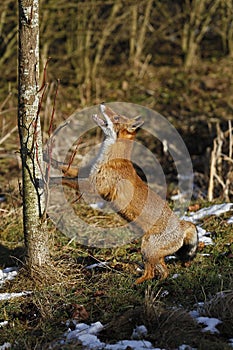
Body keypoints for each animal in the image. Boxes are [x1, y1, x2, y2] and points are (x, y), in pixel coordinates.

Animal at [48, 102, 197, 284]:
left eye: (116, 117)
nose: (102, 104)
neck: (108, 159)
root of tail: (182, 225)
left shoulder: (93, 187)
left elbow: (62, 178)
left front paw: (45, 180)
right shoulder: (86, 173)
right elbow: (63, 167)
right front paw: (45, 156)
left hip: (146, 249)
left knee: (150, 273)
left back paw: (136, 284)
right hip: (152, 254)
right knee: (163, 271)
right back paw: (158, 282)